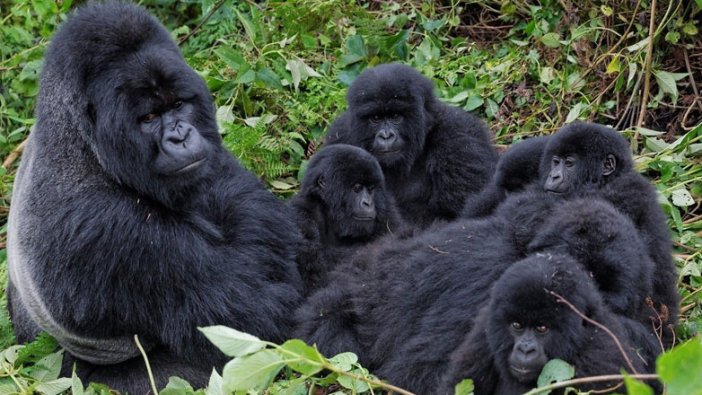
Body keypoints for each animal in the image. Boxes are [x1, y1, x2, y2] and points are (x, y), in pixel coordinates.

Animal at [6, 2, 302, 392]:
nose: (180, 136)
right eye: (148, 117)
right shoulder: (107, 230)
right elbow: (259, 316)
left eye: (178, 105)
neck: (84, 147)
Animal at [288, 145, 408, 294]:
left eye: (370, 189)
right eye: (357, 188)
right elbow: (315, 273)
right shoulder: (301, 213)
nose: (368, 203)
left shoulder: (386, 209)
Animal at [326, 63, 500, 227]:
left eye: (396, 116)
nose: (386, 136)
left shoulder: (459, 136)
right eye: (375, 118)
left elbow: (455, 214)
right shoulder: (340, 135)